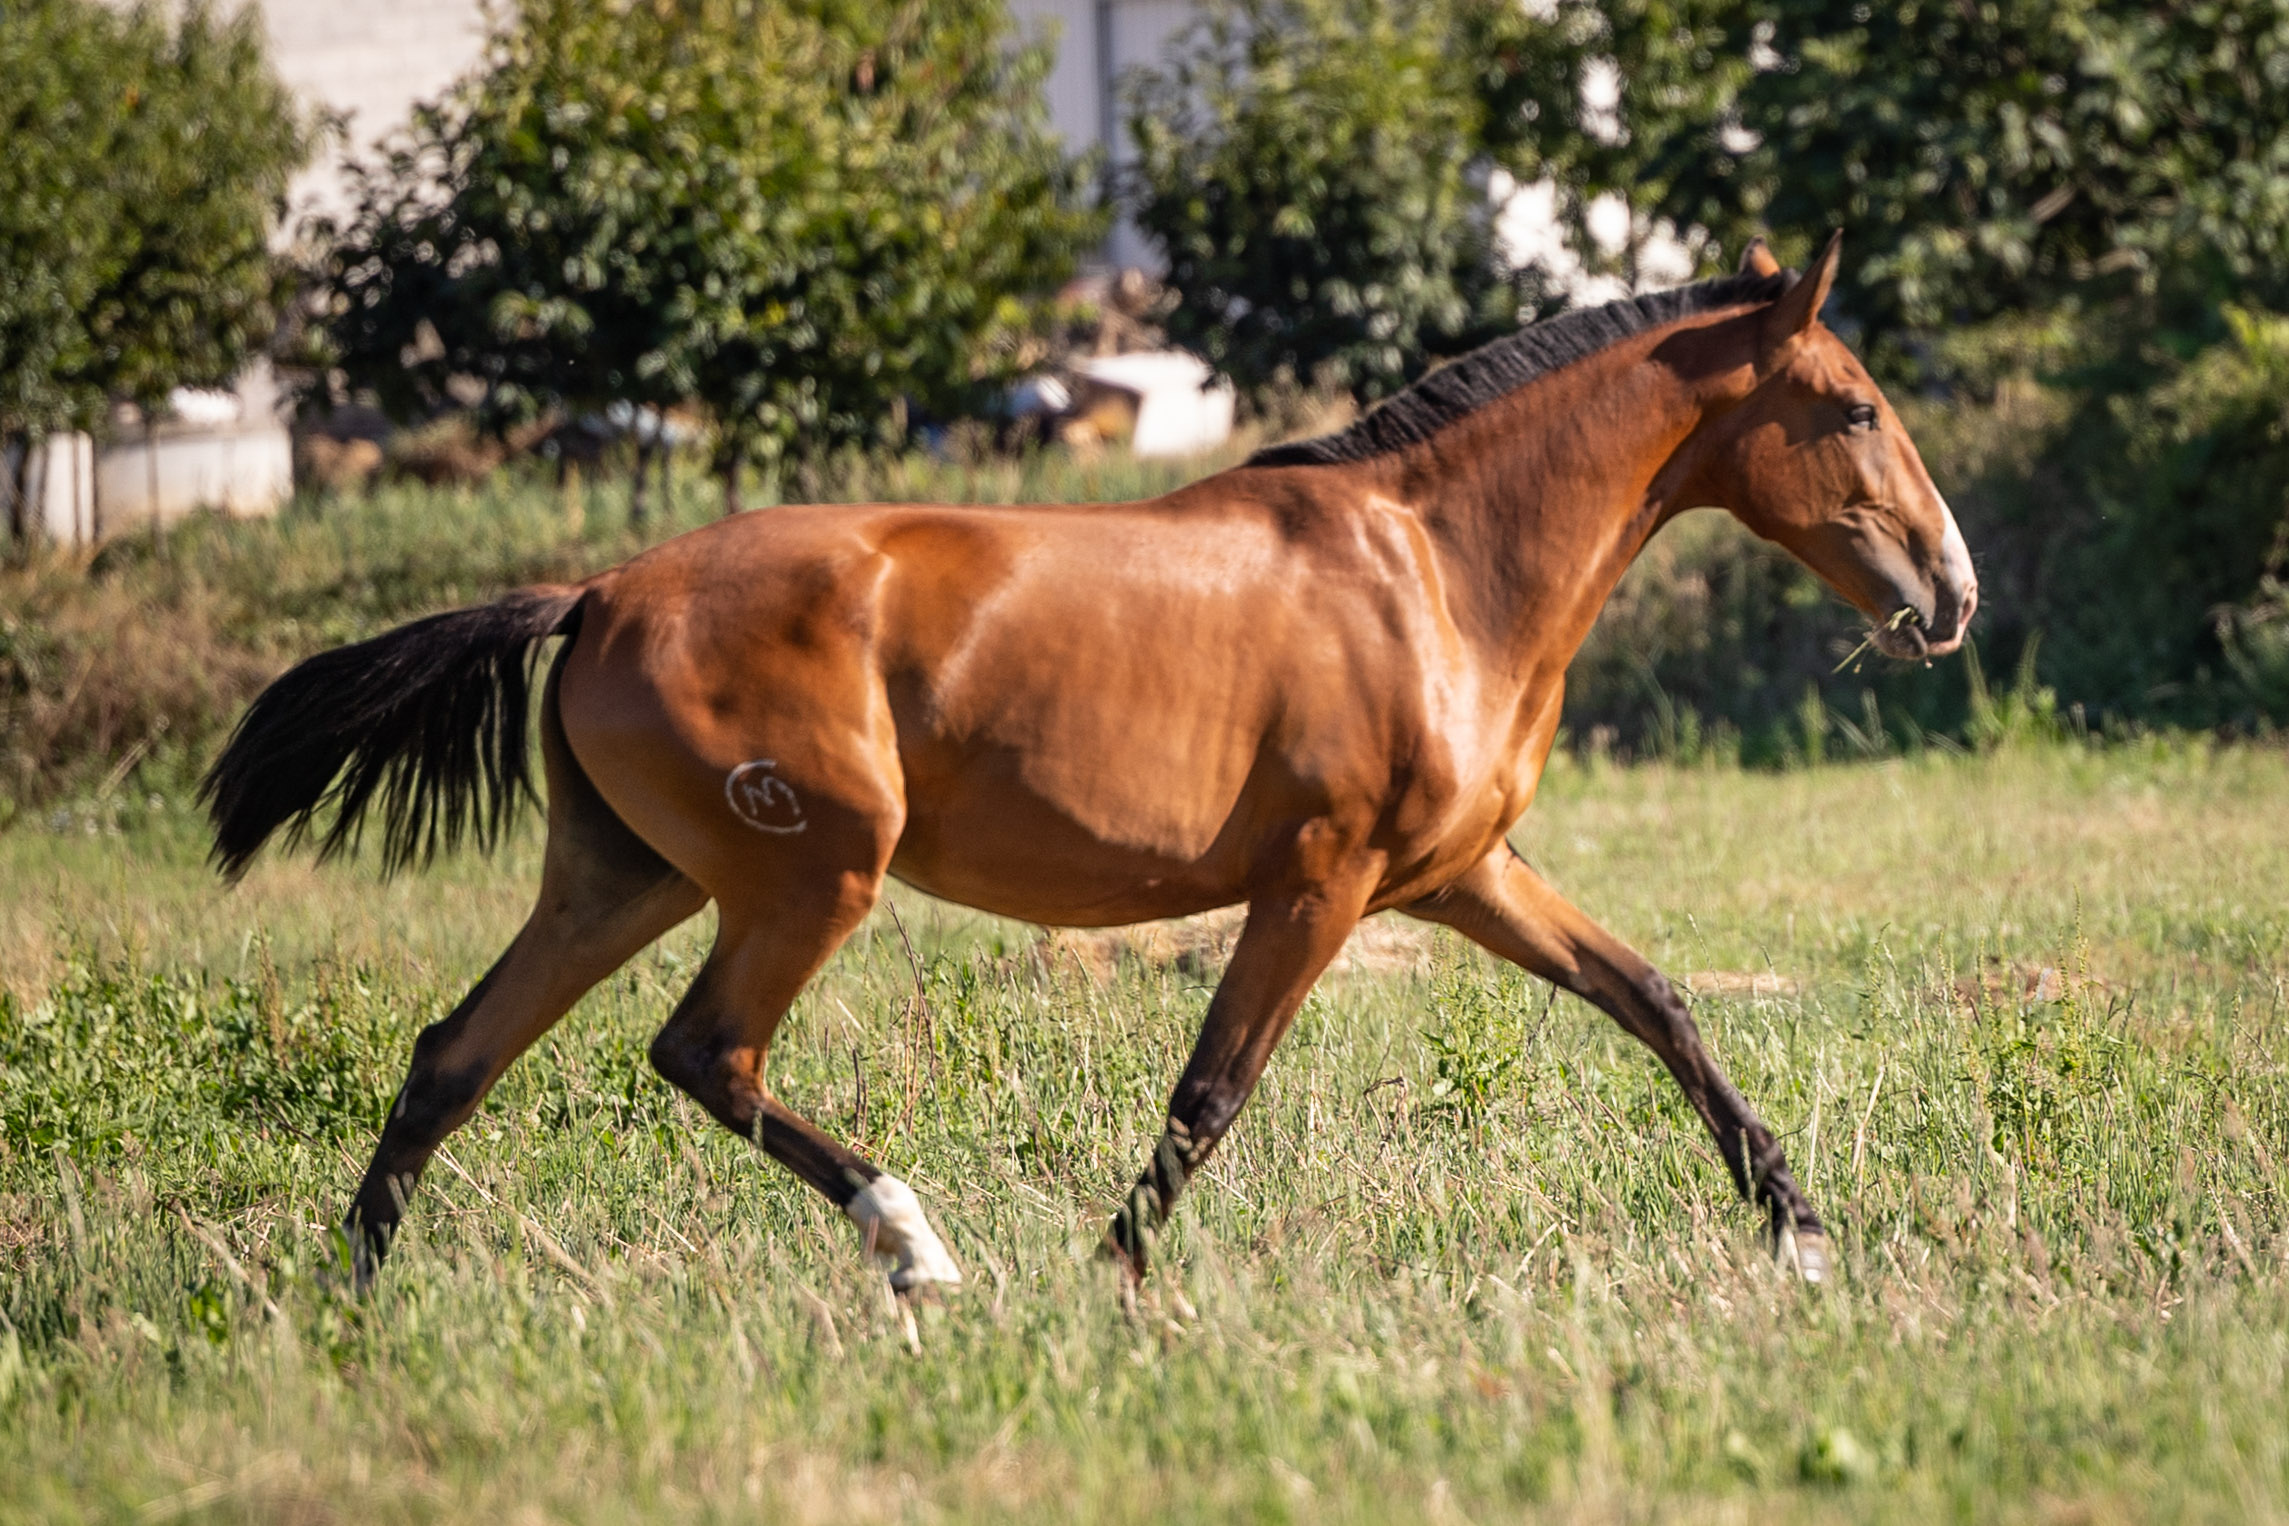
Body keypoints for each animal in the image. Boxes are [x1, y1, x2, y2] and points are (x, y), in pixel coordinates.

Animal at [206, 233, 1977, 1299]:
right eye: (1849, 406)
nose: (1947, 593)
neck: (1433, 571)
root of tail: (593, 594)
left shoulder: (1462, 875)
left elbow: (1655, 1001)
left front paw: (1802, 1236)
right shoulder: (1322, 883)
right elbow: (1210, 1090)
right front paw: (1109, 1278)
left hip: (619, 877)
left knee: (452, 1055)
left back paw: (354, 1297)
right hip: (805, 877)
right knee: (703, 1053)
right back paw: (914, 1247)